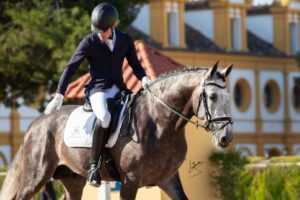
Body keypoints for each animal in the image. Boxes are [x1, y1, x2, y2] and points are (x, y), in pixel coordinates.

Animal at [0, 61, 233, 199]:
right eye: (212, 96)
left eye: (230, 98)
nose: (226, 137)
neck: (159, 124)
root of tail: (37, 122)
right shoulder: (130, 181)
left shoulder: (169, 179)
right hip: (36, 176)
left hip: (72, 179)